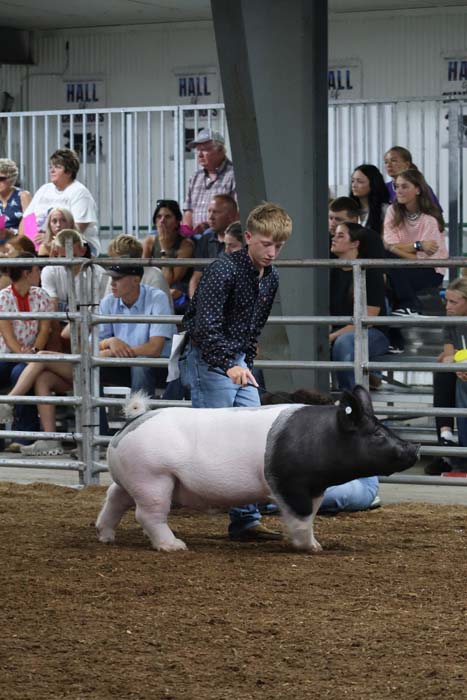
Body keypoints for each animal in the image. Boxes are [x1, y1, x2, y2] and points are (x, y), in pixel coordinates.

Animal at [96, 385, 419, 553]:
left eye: (384, 428)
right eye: (376, 434)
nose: (414, 447)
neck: (324, 438)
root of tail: (127, 429)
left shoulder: (314, 488)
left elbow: (310, 514)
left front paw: (314, 545)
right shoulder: (291, 483)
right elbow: (301, 517)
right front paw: (312, 549)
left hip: (132, 478)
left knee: (114, 497)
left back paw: (106, 537)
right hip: (153, 476)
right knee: (147, 514)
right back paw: (175, 546)